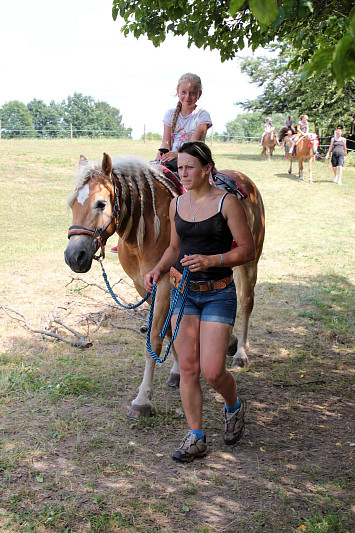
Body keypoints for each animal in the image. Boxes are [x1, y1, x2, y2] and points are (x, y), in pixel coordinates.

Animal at [64, 154, 264, 420]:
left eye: (100, 204)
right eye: (73, 205)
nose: (74, 256)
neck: (146, 227)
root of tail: (245, 180)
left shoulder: (165, 283)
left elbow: (154, 338)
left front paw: (142, 400)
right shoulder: (144, 285)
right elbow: (169, 330)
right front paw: (177, 371)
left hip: (250, 262)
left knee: (246, 303)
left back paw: (241, 353)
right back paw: (230, 343)